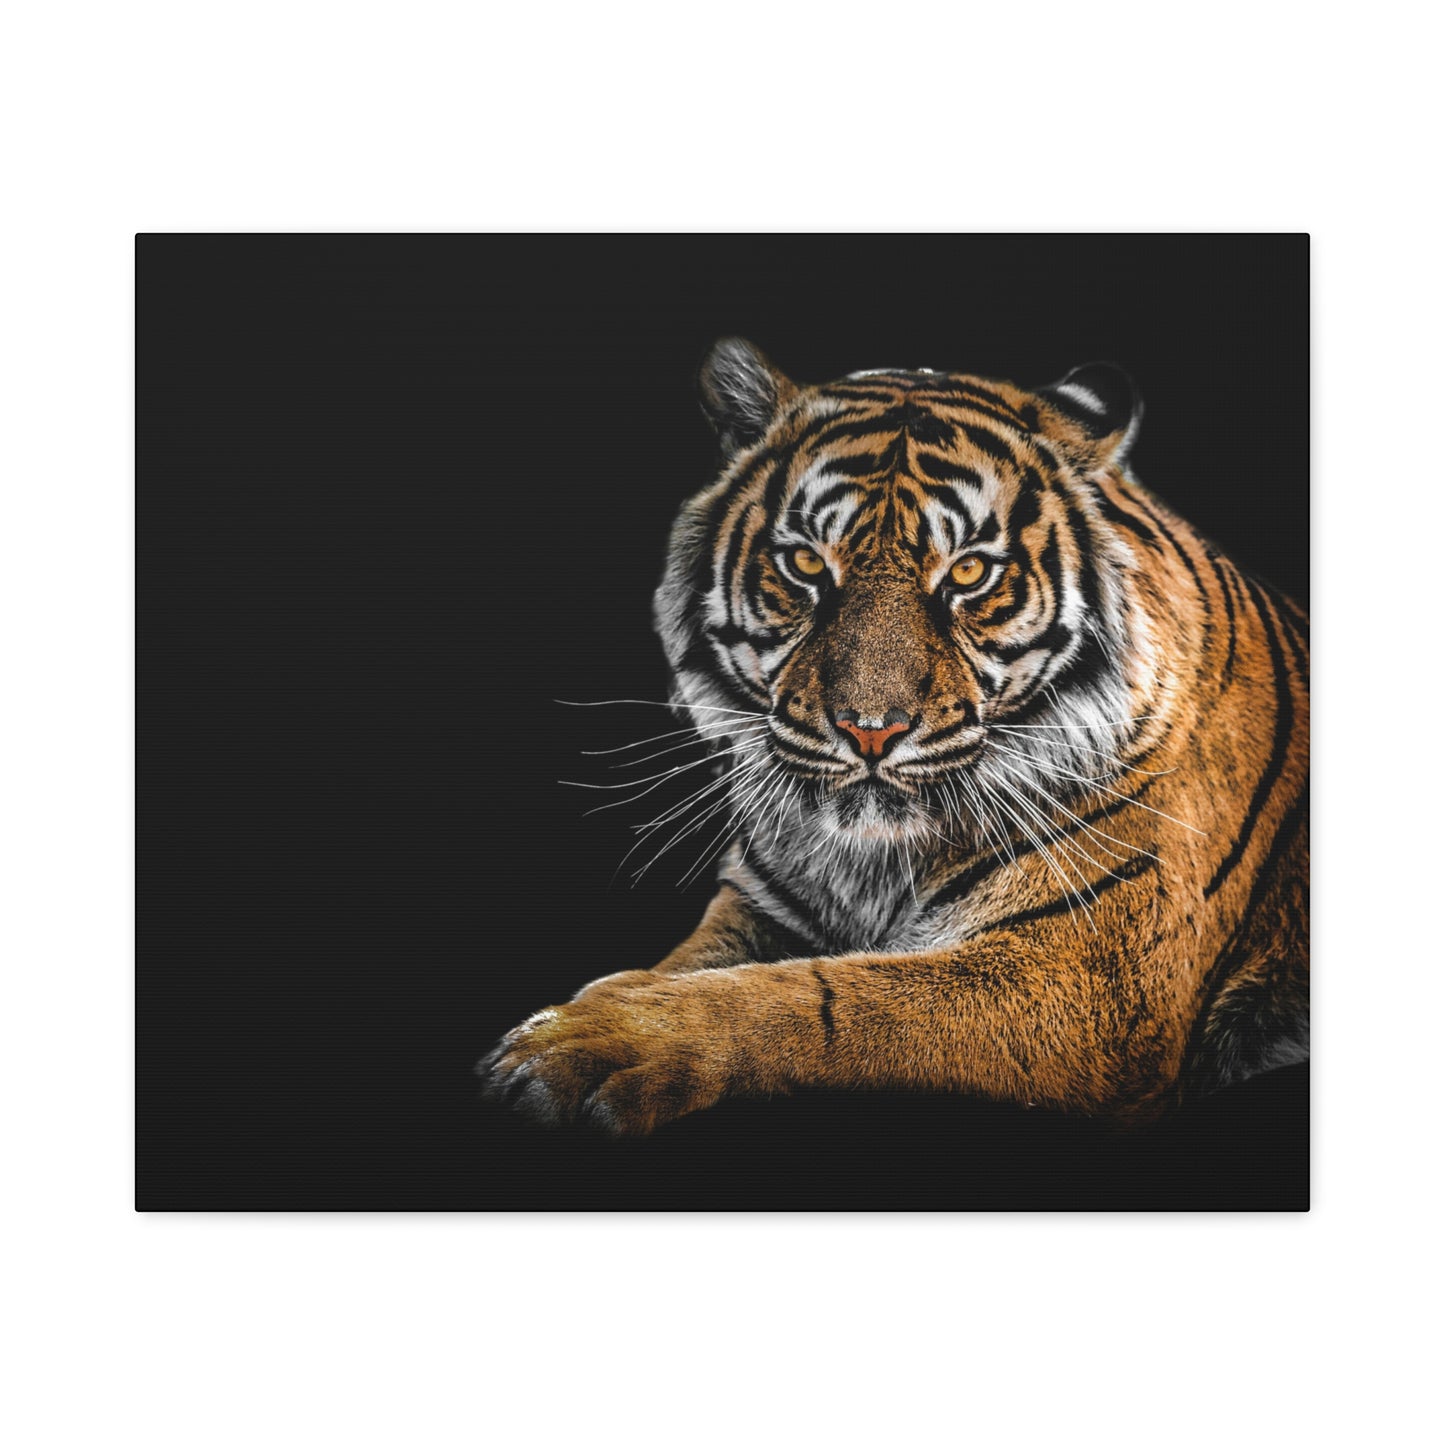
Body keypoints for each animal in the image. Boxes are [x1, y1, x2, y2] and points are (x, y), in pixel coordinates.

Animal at [478, 338, 1309, 1137]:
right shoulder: (760, 906)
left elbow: (825, 995)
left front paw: (586, 1041)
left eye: (968, 572)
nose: (868, 731)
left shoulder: (1089, 980)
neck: (872, 862)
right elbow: (694, 962)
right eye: (805, 562)